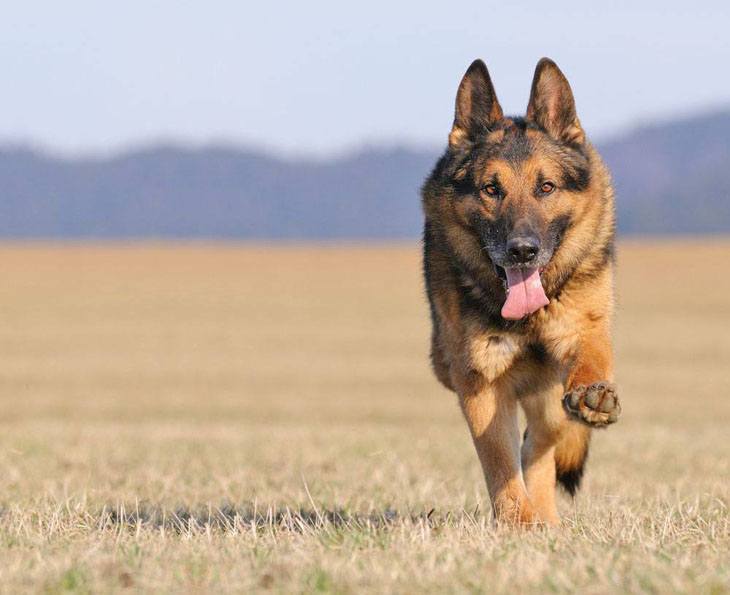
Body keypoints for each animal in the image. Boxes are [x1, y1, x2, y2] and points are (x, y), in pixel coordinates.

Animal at [420, 59, 620, 528]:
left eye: (546, 187)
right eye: (491, 189)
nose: (523, 250)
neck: (529, 318)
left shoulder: (584, 327)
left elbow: (592, 355)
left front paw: (595, 393)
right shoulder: (480, 380)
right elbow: (498, 460)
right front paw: (518, 524)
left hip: (549, 404)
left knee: (539, 449)